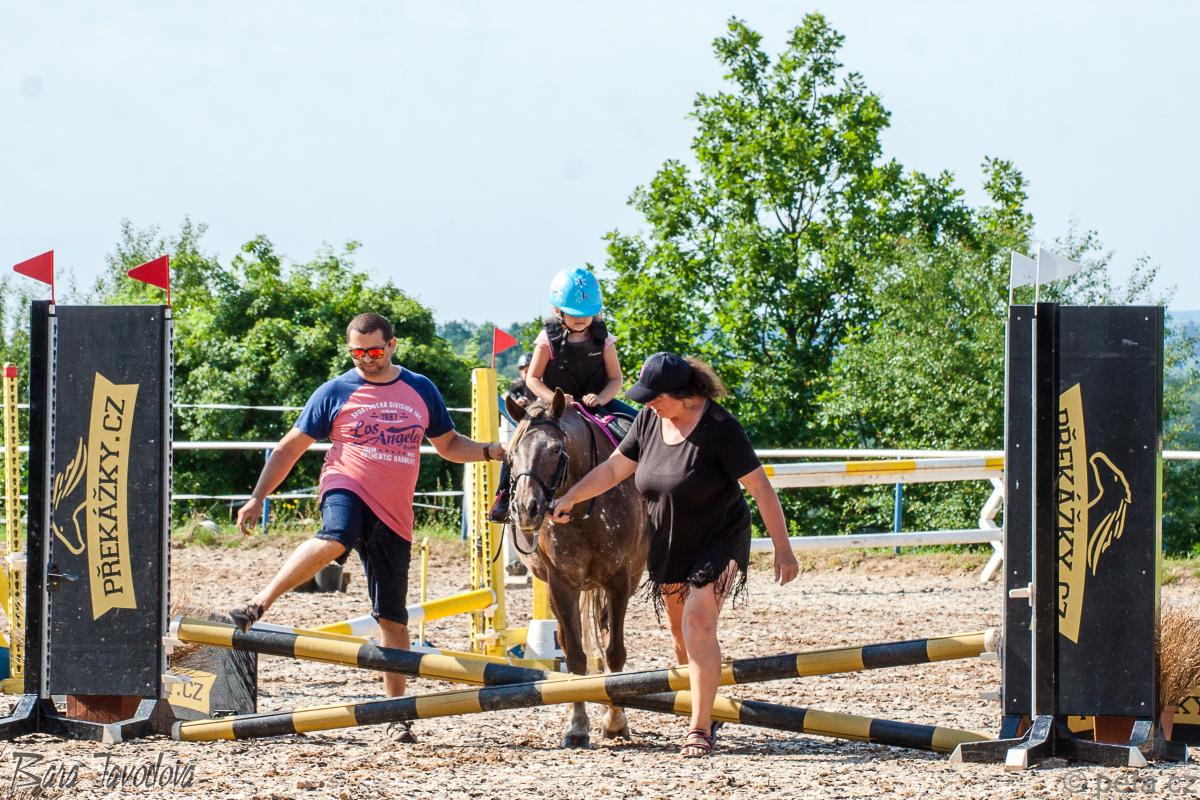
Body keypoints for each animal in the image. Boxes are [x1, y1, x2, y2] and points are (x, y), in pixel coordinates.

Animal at [503, 388, 648, 748]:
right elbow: (576, 657)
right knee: (569, 640)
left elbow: (614, 652)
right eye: (513, 452)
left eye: (556, 449)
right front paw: (578, 726)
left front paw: (615, 722)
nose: (526, 509)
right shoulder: (562, 584)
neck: (583, 505)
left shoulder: (618, 580)